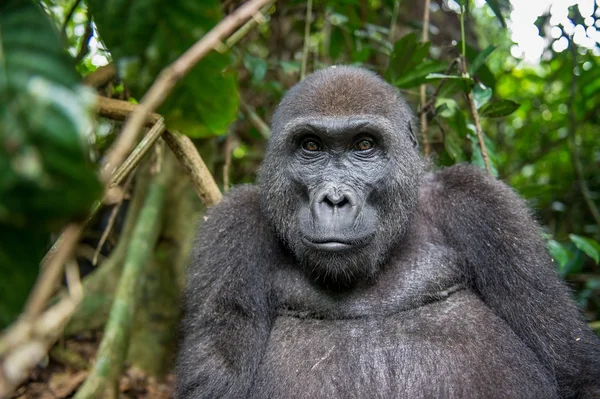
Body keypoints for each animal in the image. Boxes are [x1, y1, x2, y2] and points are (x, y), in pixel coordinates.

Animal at [175, 66, 600, 399]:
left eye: (364, 145)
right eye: (311, 146)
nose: (334, 199)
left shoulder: (482, 203)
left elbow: (575, 368)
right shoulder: (232, 228)